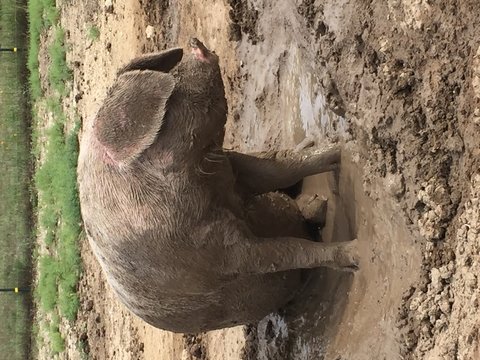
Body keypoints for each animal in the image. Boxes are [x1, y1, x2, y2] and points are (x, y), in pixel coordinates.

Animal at [78, 38, 356, 334]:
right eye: (173, 85)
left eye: (169, 71)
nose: (194, 42)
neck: (204, 183)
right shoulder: (219, 253)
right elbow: (284, 252)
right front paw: (355, 253)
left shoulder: (230, 167)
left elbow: (278, 168)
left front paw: (338, 150)